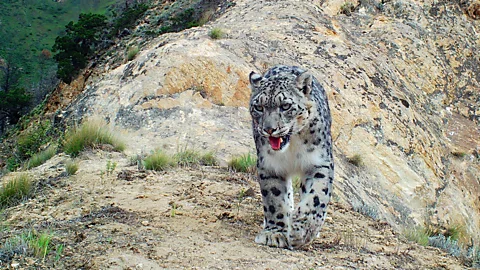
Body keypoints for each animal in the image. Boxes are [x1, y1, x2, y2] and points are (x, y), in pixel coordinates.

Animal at [248, 65, 334, 249]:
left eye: (285, 106)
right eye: (259, 107)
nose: (269, 129)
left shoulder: (319, 163)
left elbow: (316, 196)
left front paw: (302, 230)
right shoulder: (270, 166)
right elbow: (274, 200)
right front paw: (275, 233)